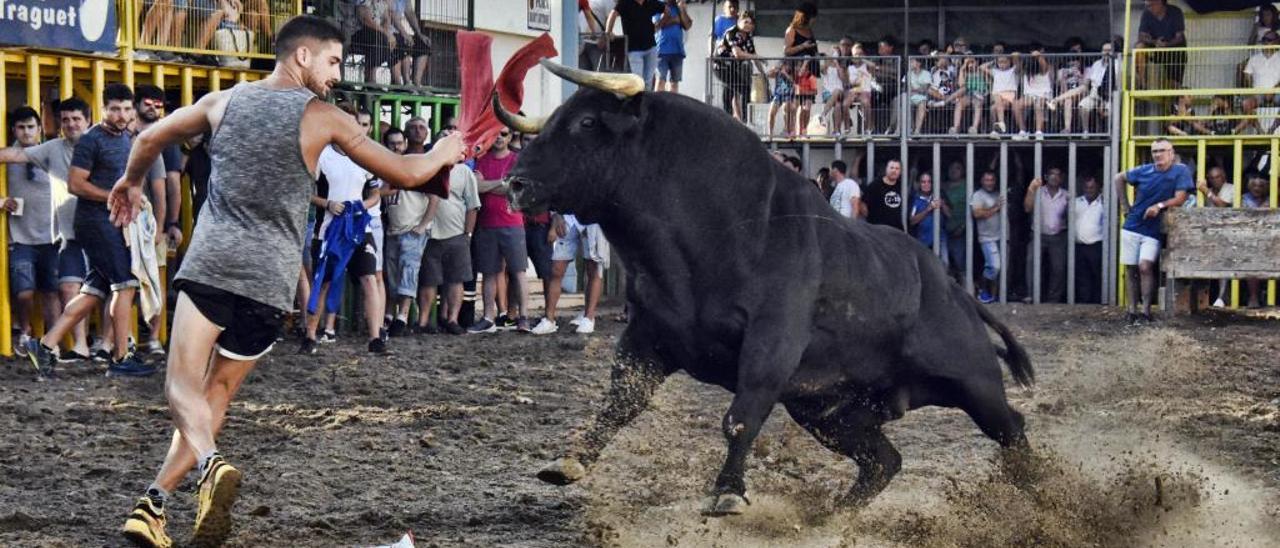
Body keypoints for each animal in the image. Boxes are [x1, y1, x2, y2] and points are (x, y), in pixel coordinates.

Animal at [494, 84, 1034, 514]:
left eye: (587, 122)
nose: (515, 183)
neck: (722, 228)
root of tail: (955, 291)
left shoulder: (771, 344)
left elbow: (740, 417)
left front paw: (727, 492)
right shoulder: (649, 337)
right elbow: (622, 400)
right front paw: (570, 461)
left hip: (974, 382)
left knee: (1012, 428)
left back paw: (1036, 495)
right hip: (828, 412)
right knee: (885, 460)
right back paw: (830, 516)